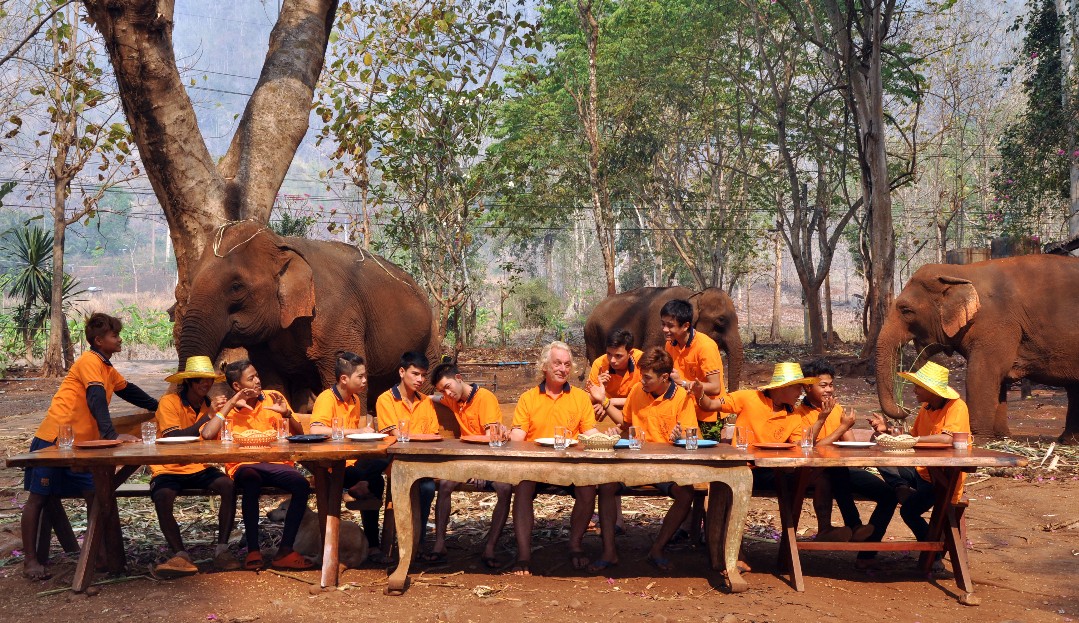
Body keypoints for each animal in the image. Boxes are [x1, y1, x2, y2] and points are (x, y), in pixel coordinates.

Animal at [871, 252, 1079, 442]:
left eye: (906, 310)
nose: (905, 410)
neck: (959, 271)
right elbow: (997, 379)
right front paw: (1000, 438)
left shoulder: (996, 323)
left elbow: (982, 373)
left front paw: (977, 438)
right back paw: (1067, 441)